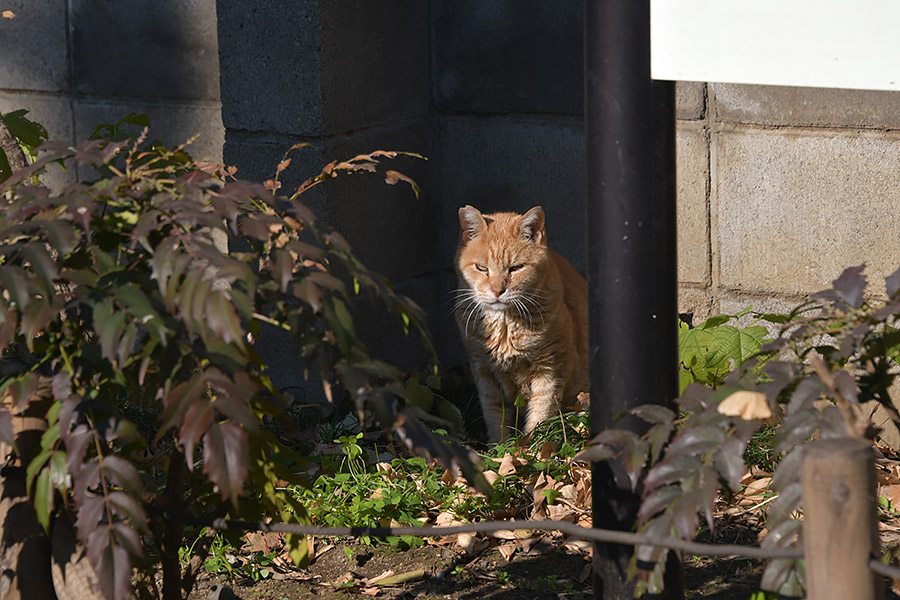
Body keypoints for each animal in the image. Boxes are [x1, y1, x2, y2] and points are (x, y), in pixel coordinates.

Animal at [454, 206, 588, 440]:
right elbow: (494, 417)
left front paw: (530, 448)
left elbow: (540, 416)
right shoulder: (483, 371)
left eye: (516, 268)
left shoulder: (552, 367)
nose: (497, 290)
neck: (504, 326)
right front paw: (498, 447)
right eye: (481, 268)